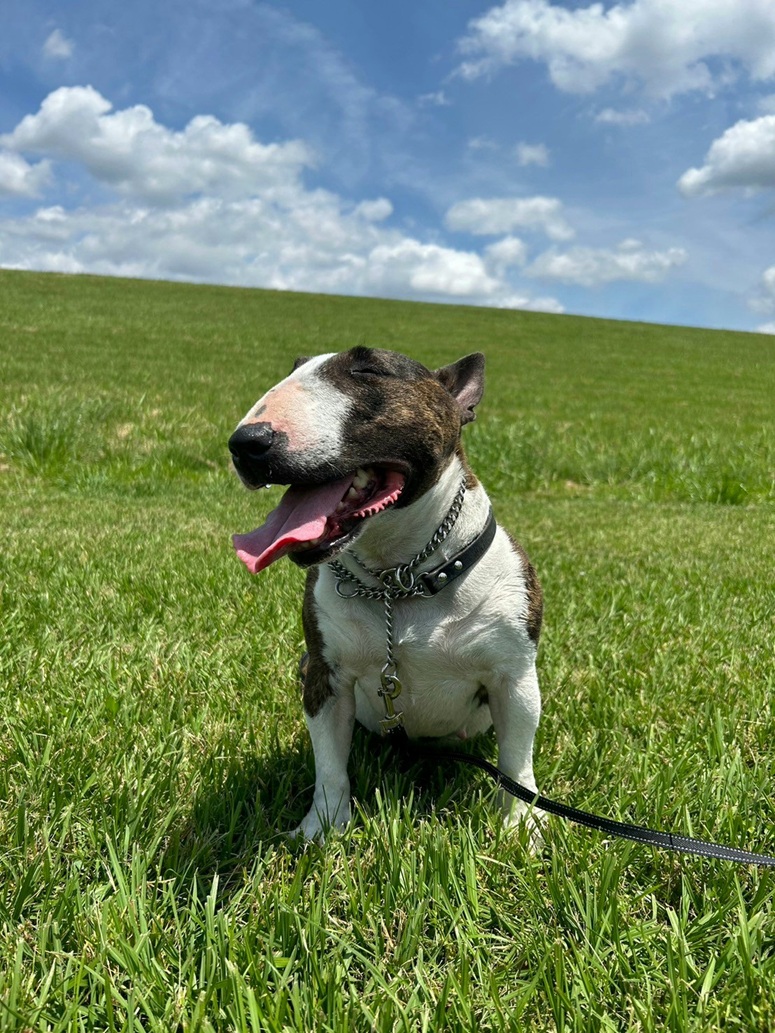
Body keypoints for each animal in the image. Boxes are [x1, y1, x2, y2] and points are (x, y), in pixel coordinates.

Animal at [228, 347, 543, 841]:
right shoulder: (326, 676)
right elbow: (330, 765)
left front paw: (520, 826)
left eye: (368, 368)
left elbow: (516, 763)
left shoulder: (515, 678)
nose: (246, 443)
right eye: (293, 368)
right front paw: (322, 827)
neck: (399, 581)